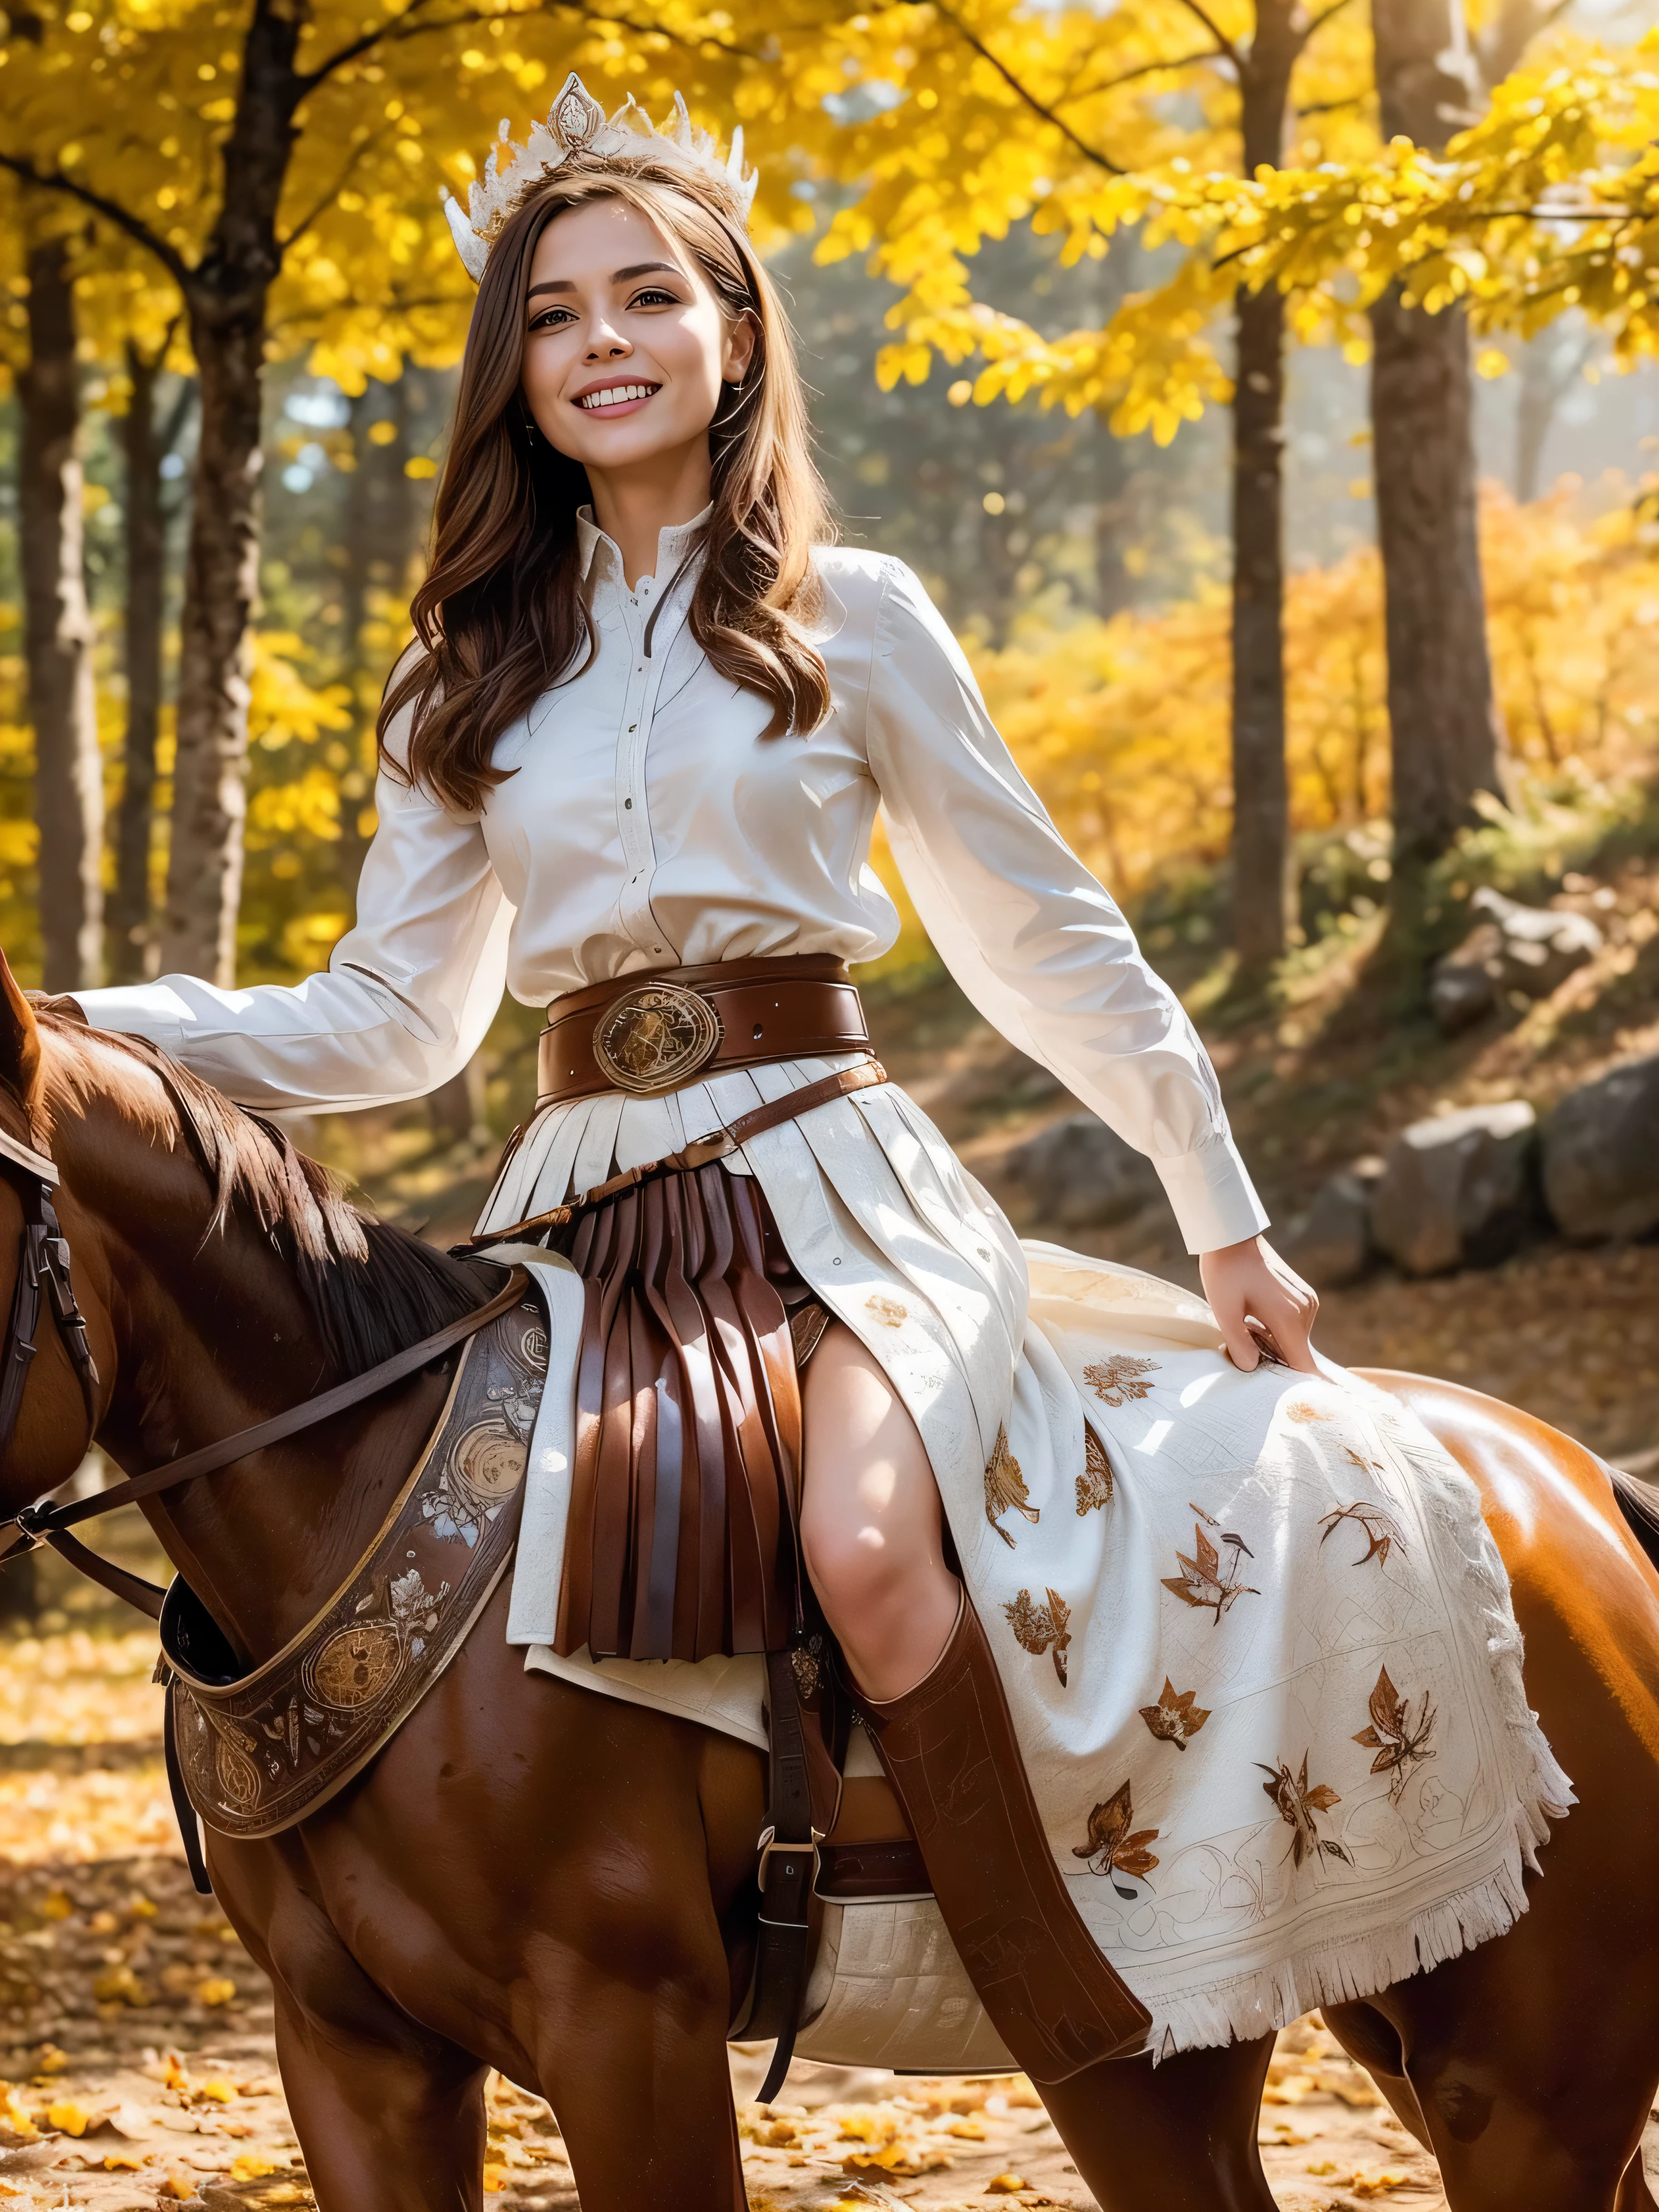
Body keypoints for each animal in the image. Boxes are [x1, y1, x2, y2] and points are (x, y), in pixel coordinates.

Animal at [3, 973, 1659, 2212]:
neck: (375, 1503)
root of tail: (1573, 1481)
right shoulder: (354, 2056)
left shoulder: (634, 2031)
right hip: (1216, 2050)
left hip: (1517, 2091)